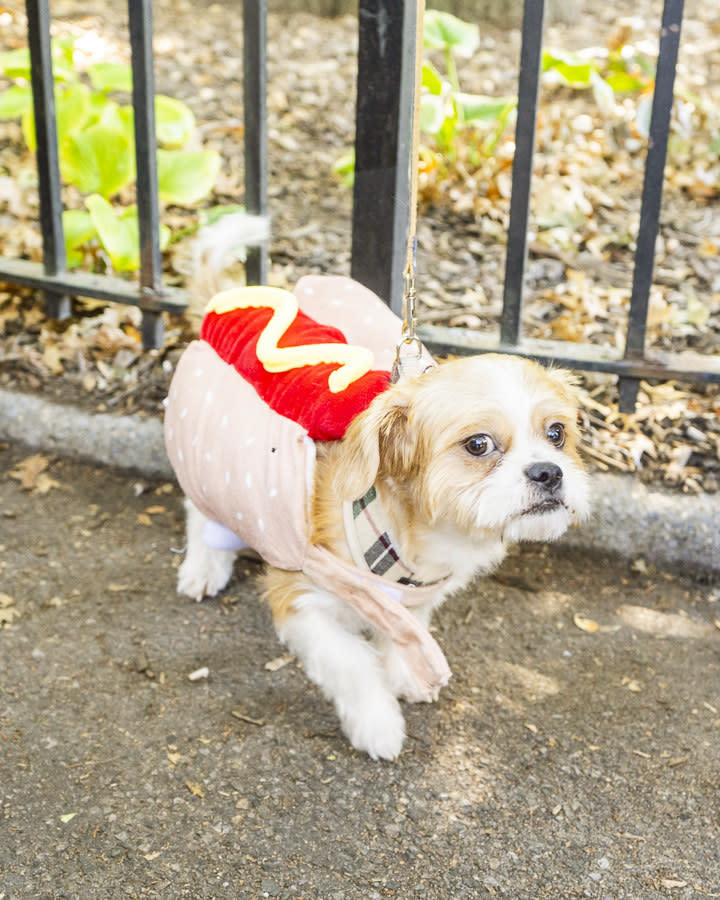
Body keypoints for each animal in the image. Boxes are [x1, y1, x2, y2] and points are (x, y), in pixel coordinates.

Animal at [173, 330, 592, 760]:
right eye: (478, 444)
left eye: (557, 434)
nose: (548, 472)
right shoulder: (300, 595)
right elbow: (352, 661)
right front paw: (377, 725)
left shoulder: (411, 599)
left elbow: (402, 631)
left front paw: (406, 673)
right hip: (214, 465)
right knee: (199, 507)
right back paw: (203, 568)